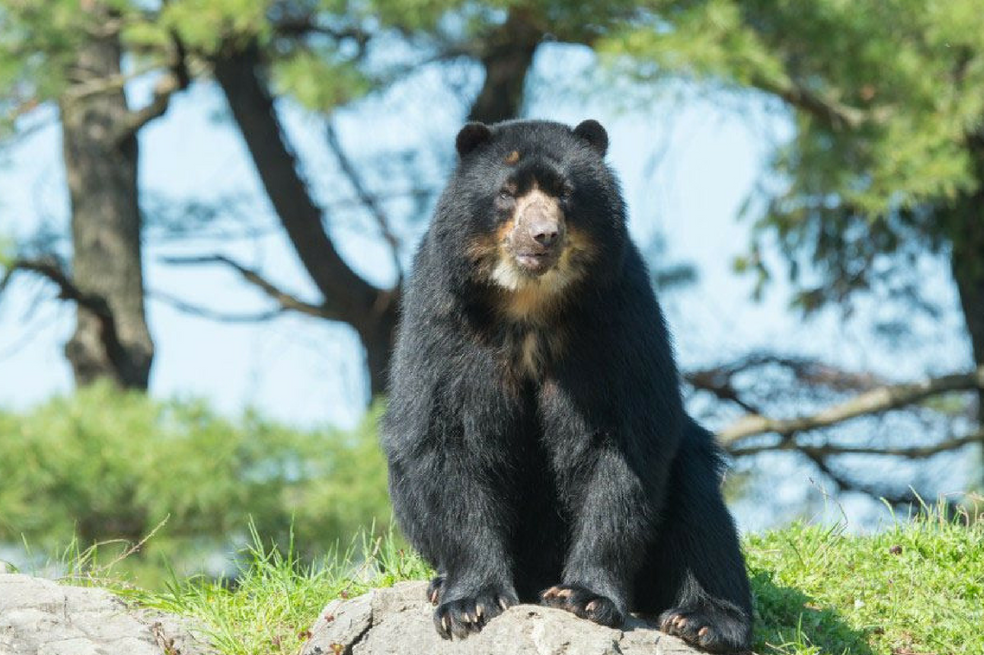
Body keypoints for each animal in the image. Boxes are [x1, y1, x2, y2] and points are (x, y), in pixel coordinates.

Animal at [381, 119, 753, 653]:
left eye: (565, 192)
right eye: (508, 192)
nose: (543, 235)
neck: (530, 302)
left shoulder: (617, 317)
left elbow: (617, 444)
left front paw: (584, 597)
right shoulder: (447, 318)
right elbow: (451, 437)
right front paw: (470, 604)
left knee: (701, 511)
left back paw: (703, 620)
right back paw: (440, 583)